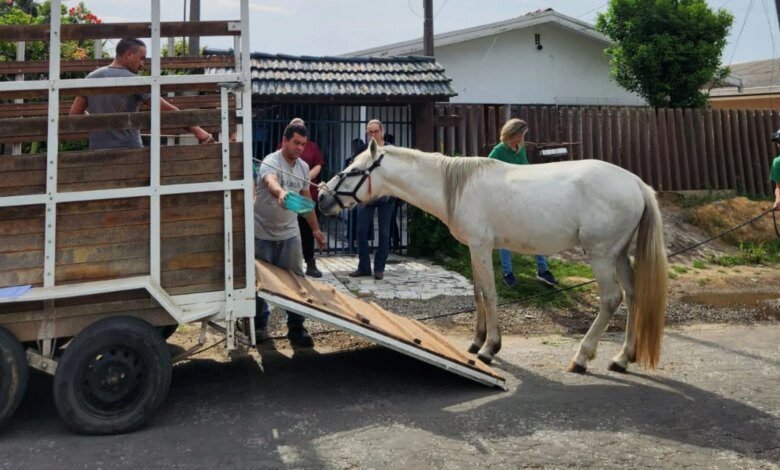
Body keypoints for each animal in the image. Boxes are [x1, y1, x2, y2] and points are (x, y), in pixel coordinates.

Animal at [318, 140, 668, 373]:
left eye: (353, 170)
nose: (322, 198)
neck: (456, 187)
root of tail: (636, 183)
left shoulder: (482, 246)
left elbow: (489, 293)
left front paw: (489, 348)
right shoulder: (474, 249)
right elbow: (477, 294)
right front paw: (476, 341)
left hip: (601, 255)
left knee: (611, 299)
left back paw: (582, 357)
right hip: (619, 254)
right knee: (634, 295)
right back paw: (622, 358)